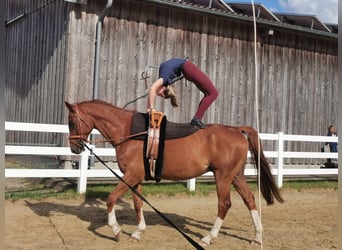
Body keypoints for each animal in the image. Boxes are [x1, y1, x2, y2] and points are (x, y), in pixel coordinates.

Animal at [65, 99, 284, 246]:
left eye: (71, 122)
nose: (74, 148)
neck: (131, 133)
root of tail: (237, 129)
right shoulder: (134, 178)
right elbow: (137, 203)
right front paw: (138, 231)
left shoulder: (130, 176)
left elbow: (111, 199)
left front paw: (116, 230)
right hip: (236, 176)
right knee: (249, 199)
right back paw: (257, 236)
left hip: (223, 176)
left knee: (224, 204)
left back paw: (208, 237)